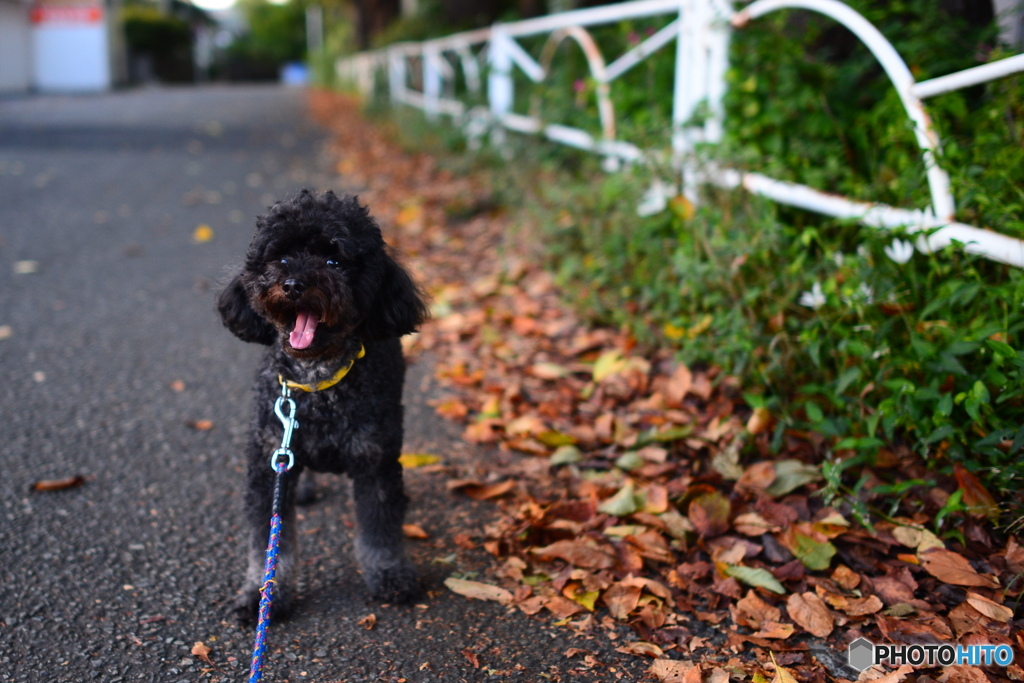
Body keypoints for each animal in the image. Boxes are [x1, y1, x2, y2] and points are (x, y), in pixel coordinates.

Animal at [218, 189, 425, 622]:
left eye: (334, 261)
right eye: (280, 258)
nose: (294, 284)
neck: (317, 383)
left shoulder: (376, 462)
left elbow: (380, 531)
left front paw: (390, 575)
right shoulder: (268, 460)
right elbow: (269, 543)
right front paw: (263, 596)